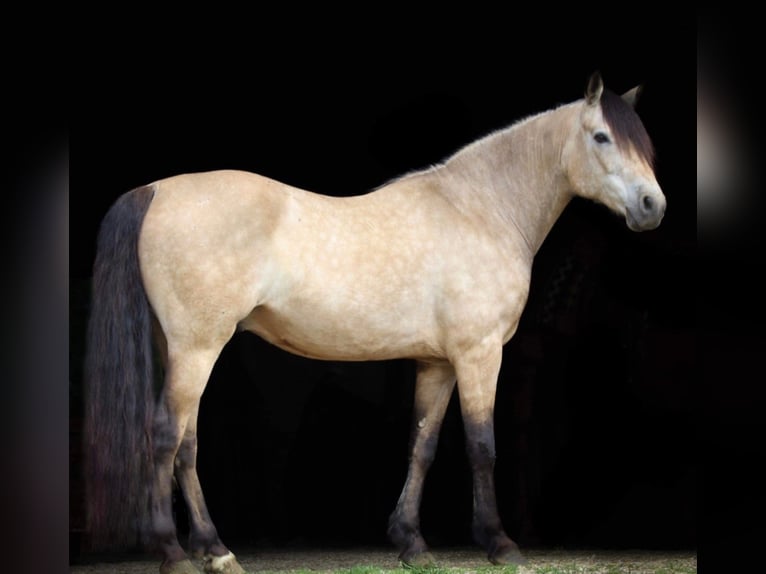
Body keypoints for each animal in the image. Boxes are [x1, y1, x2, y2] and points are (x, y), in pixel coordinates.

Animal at [85, 73, 664, 574]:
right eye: (601, 136)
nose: (652, 206)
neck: (481, 210)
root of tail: (155, 190)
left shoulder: (438, 364)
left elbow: (422, 446)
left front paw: (411, 542)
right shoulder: (479, 355)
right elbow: (482, 445)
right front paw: (499, 543)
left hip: (181, 349)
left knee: (186, 444)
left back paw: (212, 549)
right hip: (197, 348)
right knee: (166, 435)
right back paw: (177, 552)